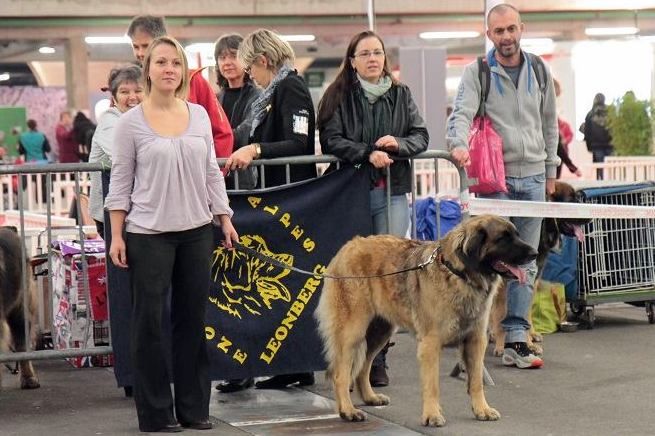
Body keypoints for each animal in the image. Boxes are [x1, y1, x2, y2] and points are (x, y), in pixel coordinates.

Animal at [316, 215, 540, 426]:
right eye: (503, 238)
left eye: (517, 235)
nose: (535, 254)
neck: (458, 274)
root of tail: (348, 246)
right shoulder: (431, 344)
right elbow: (432, 384)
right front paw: (432, 415)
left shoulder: (475, 341)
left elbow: (476, 381)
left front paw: (482, 410)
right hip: (353, 332)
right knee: (341, 374)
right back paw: (348, 411)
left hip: (380, 332)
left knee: (364, 366)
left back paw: (370, 398)